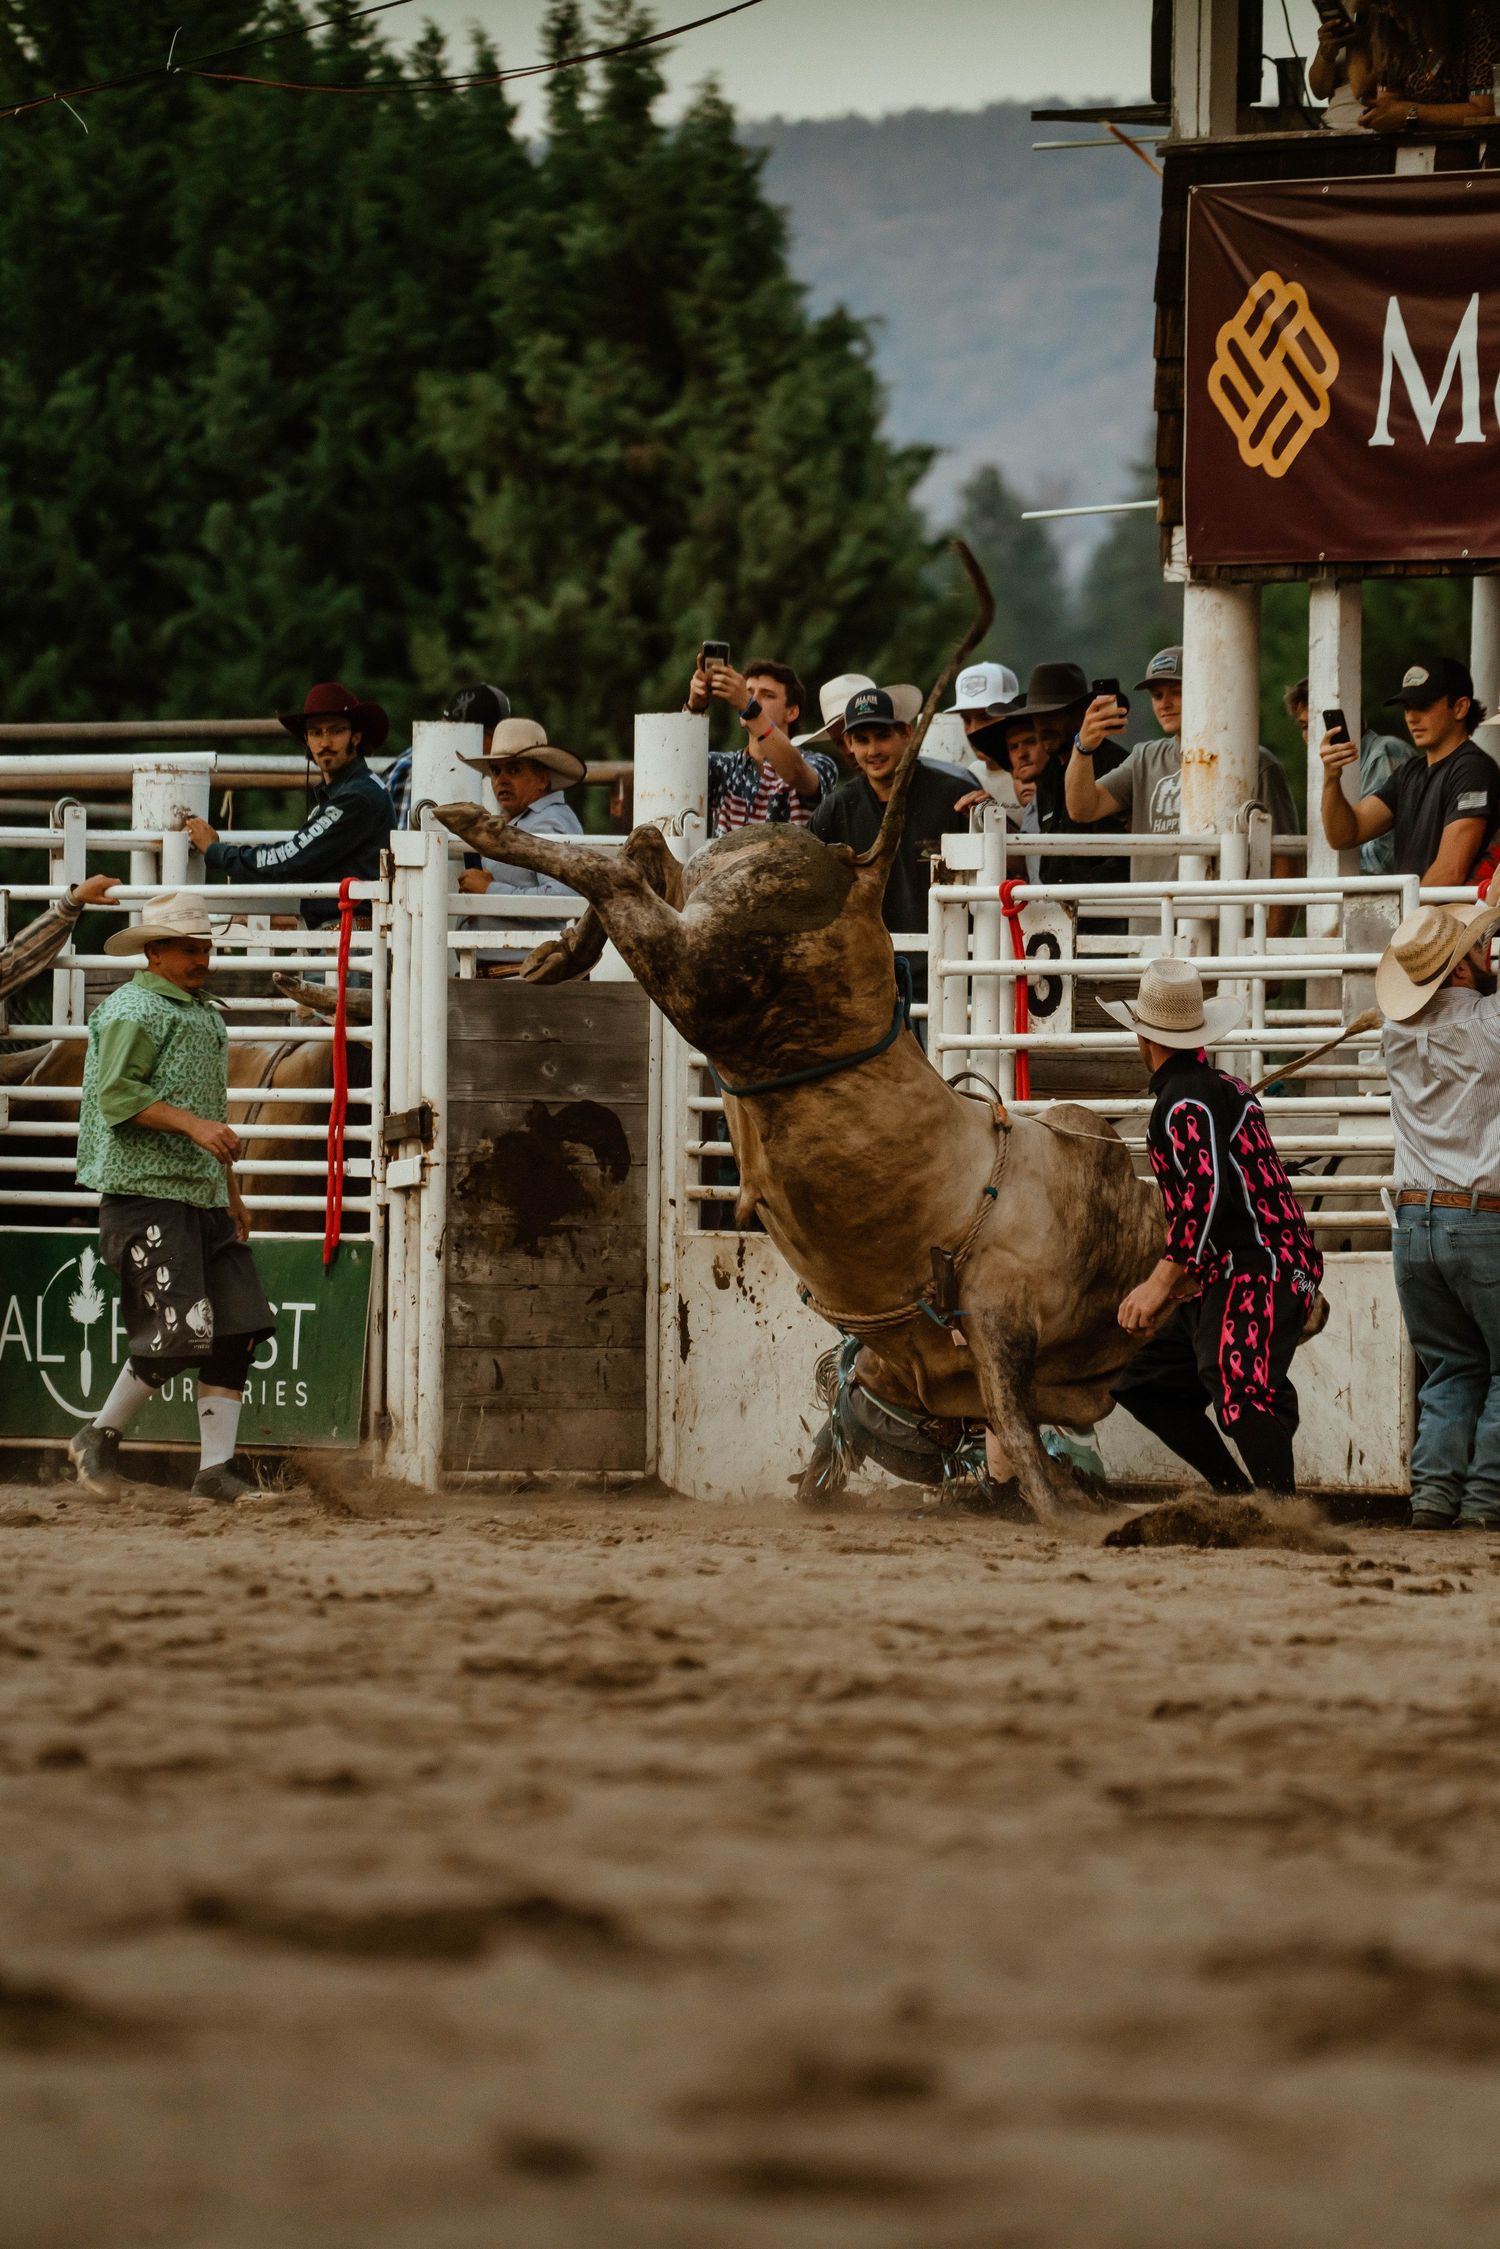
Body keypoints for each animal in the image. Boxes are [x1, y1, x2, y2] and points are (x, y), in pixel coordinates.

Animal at [430, 561, 1166, 1525]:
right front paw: (1068, 1505)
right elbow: (1015, 1414)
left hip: (717, 916)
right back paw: (478, 832)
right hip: (714, 977)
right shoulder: (1002, 1318)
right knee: (625, 877)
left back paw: (559, 941)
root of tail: (856, 878)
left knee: (644, 861)